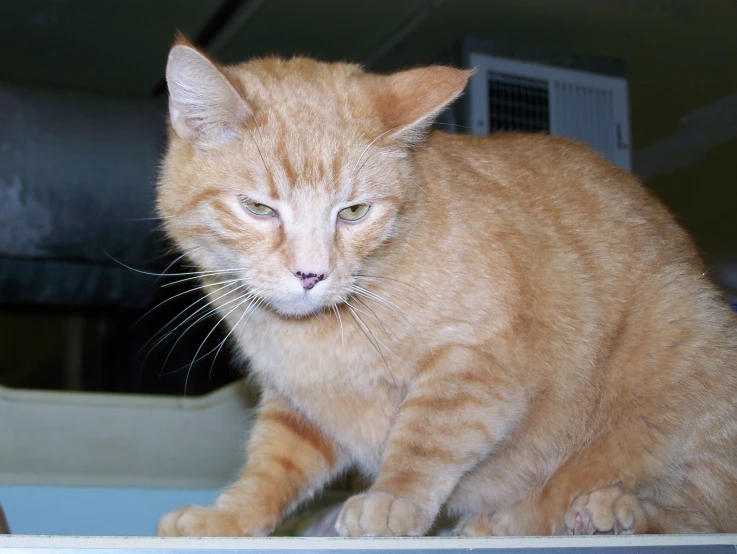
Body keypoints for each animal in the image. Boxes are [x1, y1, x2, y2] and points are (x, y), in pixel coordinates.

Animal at [152, 37, 732, 536]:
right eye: (258, 208)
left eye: (354, 212)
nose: (311, 274)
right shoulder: (298, 407)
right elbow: (269, 470)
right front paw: (226, 517)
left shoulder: (476, 368)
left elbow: (425, 441)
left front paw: (393, 499)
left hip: (682, 331)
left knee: (694, 512)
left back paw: (604, 511)